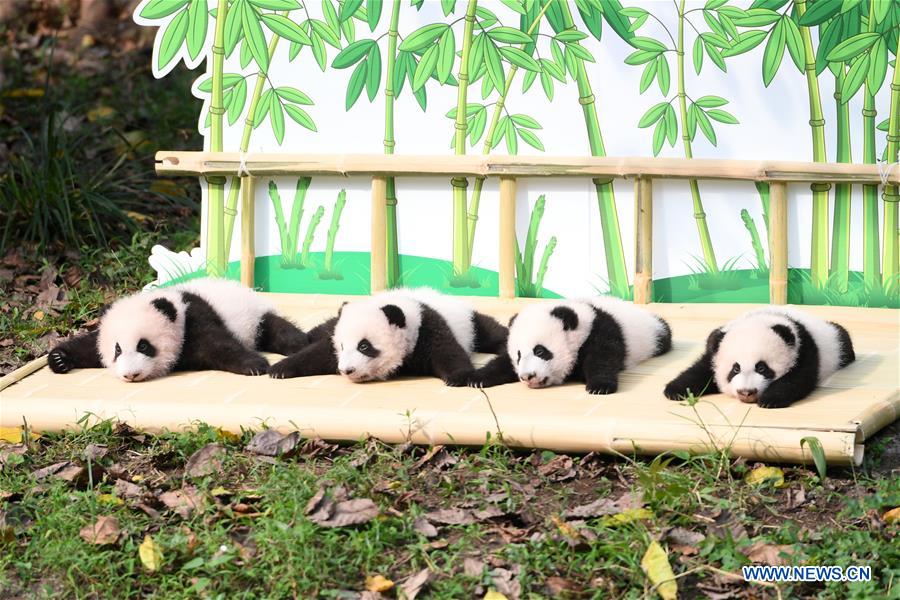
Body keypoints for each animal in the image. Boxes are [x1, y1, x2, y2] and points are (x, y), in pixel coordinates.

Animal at [48, 278, 308, 382]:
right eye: (117, 350)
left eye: (144, 346)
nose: (131, 375)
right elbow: (88, 346)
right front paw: (59, 359)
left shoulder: (194, 318)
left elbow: (219, 345)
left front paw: (254, 365)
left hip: (254, 319)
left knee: (279, 331)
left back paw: (300, 344)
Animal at [267, 287, 507, 385]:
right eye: (343, 346)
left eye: (364, 346)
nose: (346, 370)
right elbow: (317, 353)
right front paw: (279, 370)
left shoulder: (428, 328)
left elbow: (448, 352)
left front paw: (460, 377)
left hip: (472, 323)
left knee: (492, 332)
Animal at [467, 296, 672, 394]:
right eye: (518, 356)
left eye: (540, 351)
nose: (527, 376)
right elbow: (501, 362)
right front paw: (476, 379)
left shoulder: (600, 331)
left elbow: (603, 358)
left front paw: (599, 386)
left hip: (653, 333)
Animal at [663, 307, 855, 409]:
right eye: (735, 369)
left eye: (762, 367)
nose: (747, 392)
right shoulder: (714, 351)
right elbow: (700, 370)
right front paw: (675, 390)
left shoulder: (804, 349)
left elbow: (798, 378)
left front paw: (770, 399)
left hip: (835, 343)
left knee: (843, 339)